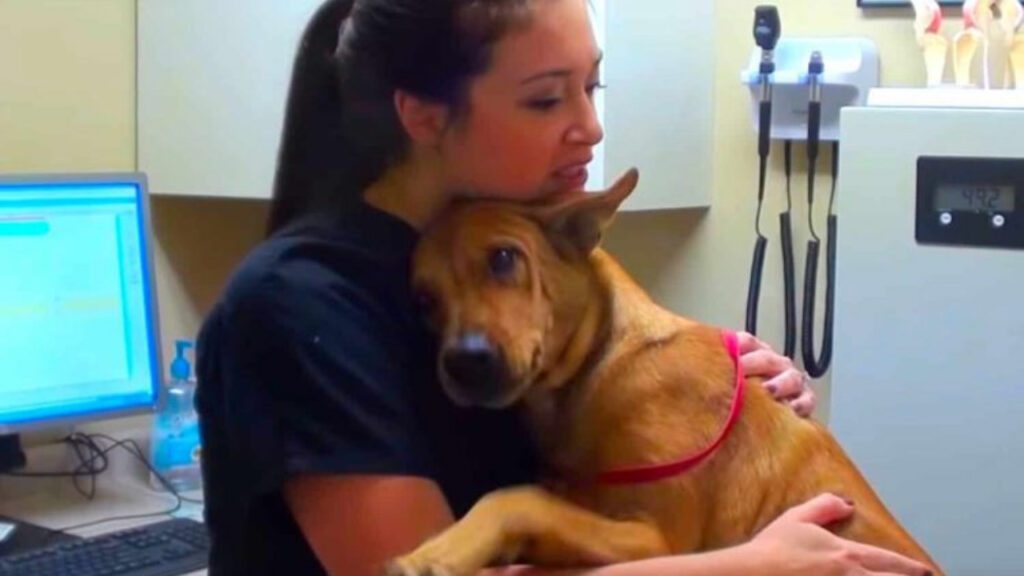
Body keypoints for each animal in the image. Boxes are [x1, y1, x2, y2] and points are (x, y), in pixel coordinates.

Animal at [389, 169, 942, 573]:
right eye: (423, 301)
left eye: (503, 258)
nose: (464, 362)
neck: (597, 369)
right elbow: (539, 501)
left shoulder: (654, 537)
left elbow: (517, 499)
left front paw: (433, 554)